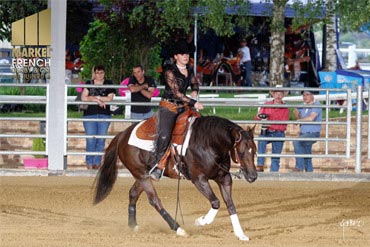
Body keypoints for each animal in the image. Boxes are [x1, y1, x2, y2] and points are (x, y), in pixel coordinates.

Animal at [94, 114, 258, 241]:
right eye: (241, 151)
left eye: (255, 150)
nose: (252, 176)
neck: (208, 143)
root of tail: (123, 134)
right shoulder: (199, 179)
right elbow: (216, 202)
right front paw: (201, 221)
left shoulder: (224, 178)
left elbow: (230, 204)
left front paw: (240, 234)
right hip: (140, 174)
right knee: (154, 200)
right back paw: (178, 229)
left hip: (144, 174)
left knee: (133, 193)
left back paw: (133, 225)